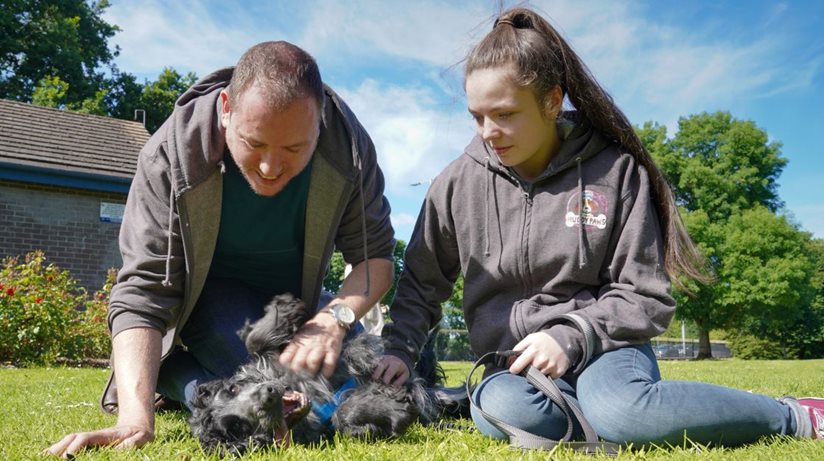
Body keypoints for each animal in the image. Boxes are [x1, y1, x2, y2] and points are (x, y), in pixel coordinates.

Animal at [187, 292, 438, 452]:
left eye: (233, 388)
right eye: (237, 428)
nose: (269, 395)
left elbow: (255, 342)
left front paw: (280, 308)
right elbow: (344, 414)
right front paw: (393, 409)